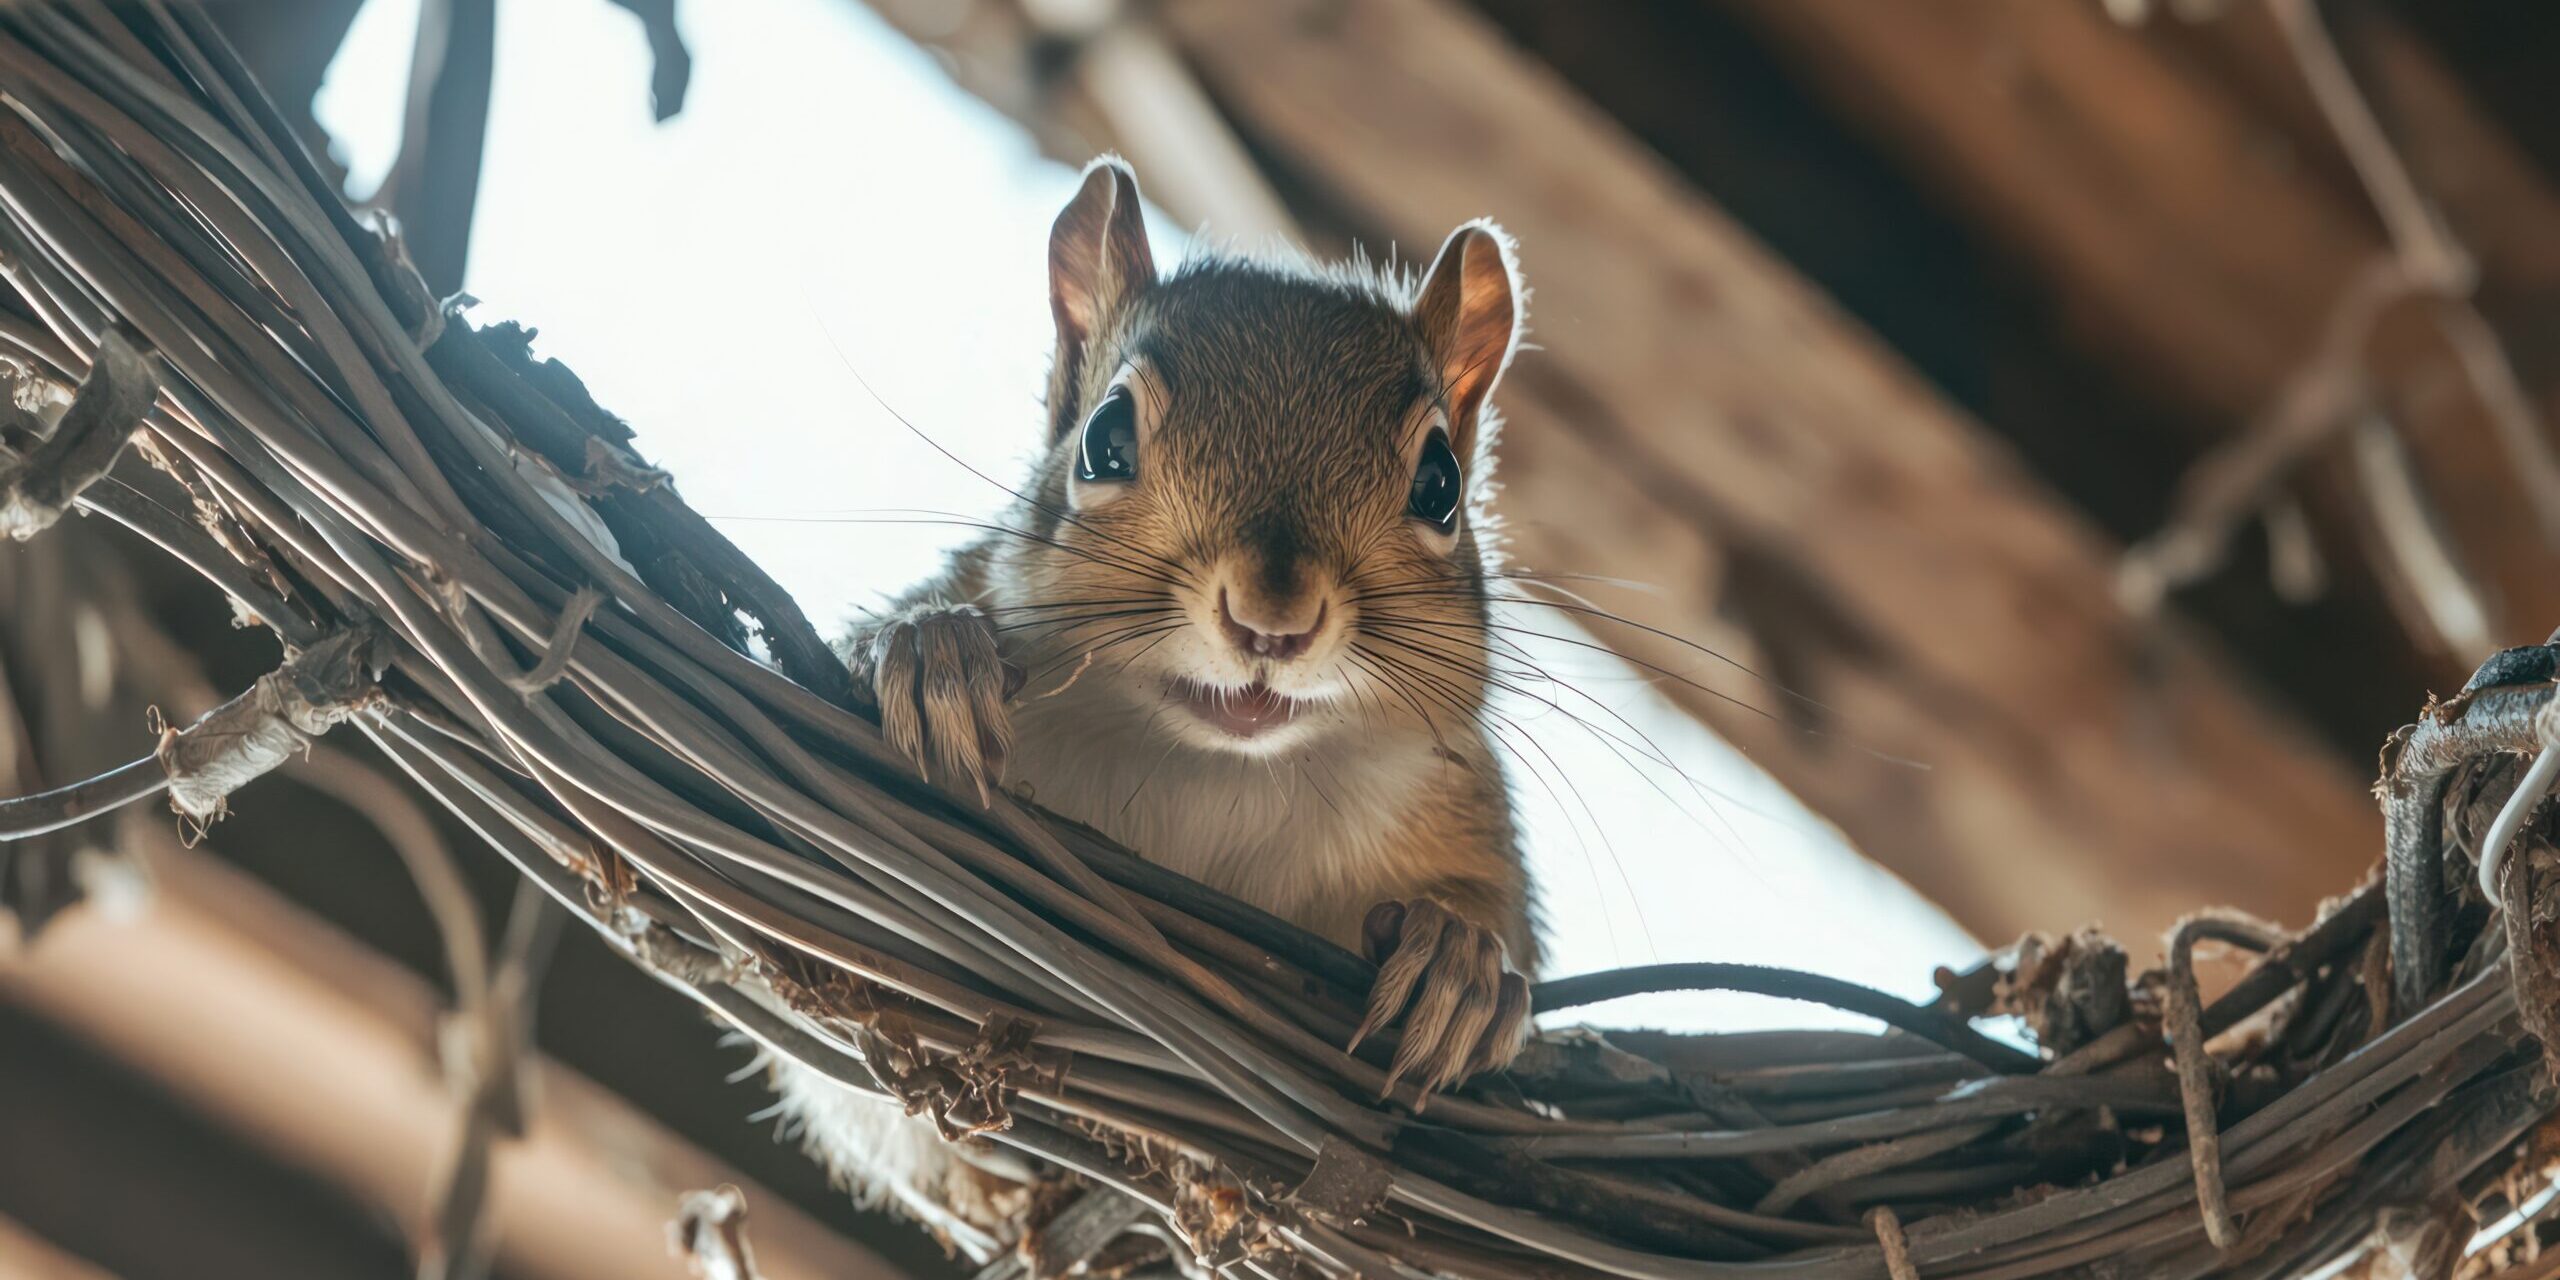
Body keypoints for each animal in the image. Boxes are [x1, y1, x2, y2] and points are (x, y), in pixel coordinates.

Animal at [767, 157, 1538, 1252]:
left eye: (1441, 483)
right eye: (1103, 439)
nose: (1271, 622)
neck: (1212, 766)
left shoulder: (1463, 799)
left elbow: (1499, 922)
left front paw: (1461, 958)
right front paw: (926, 651)